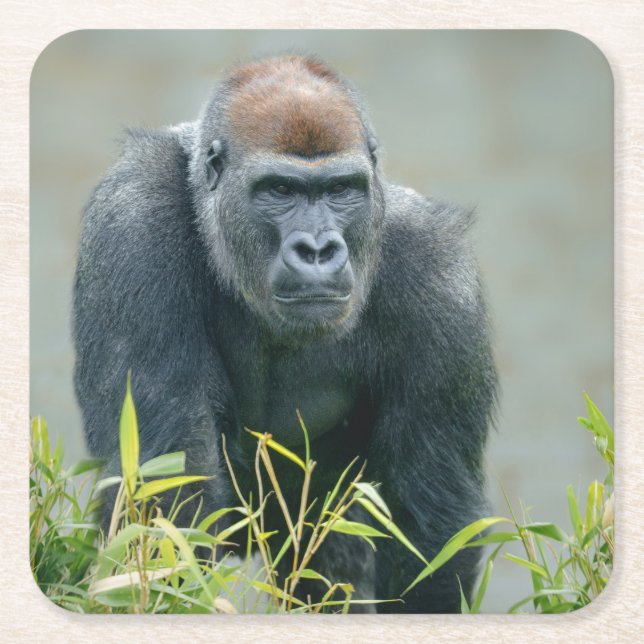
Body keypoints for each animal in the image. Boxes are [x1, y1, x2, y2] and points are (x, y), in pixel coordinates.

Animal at [73, 55, 497, 613]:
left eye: (340, 190)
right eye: (280, 190)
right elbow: (166, 496)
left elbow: (429, 531)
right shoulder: (131, 223)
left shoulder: (442, 277)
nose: (317, 250)